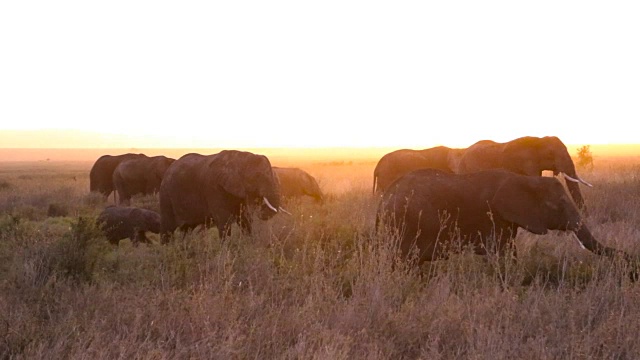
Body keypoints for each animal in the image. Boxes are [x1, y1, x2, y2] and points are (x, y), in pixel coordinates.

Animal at [378, 169, 632, 268]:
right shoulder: (495, 217)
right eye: (558, 204)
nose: (630, 259)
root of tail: (384, 199)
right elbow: (503, 254)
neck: (523, 179)